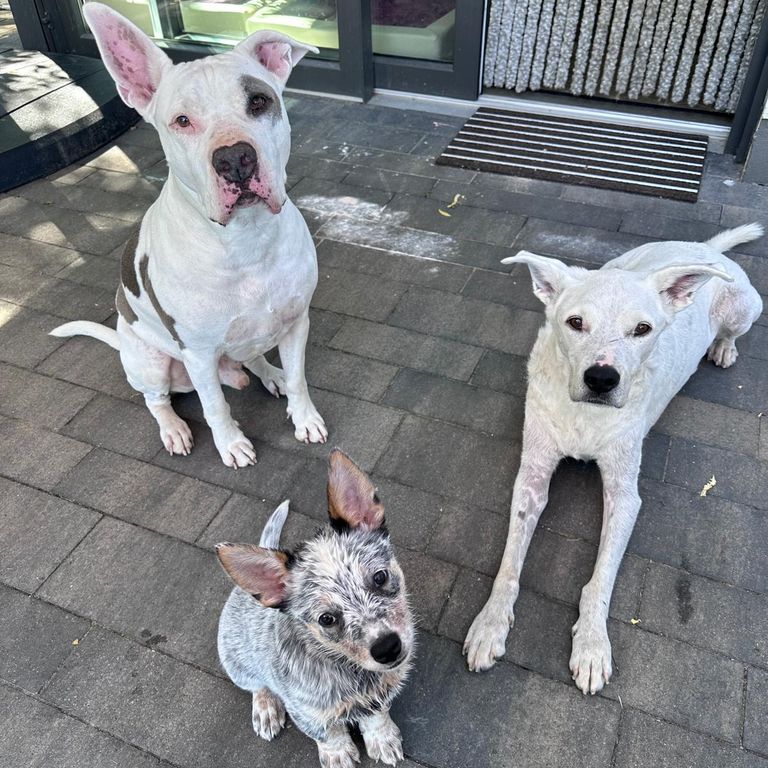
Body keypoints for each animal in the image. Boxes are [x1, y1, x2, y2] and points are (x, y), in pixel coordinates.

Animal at [50, 3, 327, 467]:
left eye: (258, 101)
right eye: (182, 120)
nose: (235, 158)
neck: (245, 241)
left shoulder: (295, 323)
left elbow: (299, 378)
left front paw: (303, 417)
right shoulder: (196, 352)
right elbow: (214, 405)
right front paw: (231, 444)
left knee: (254, 360)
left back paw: (269, 375)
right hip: (149, 361)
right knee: (157, 400)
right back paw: (175, 428)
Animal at [216, 450, 414, 767]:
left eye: (380, 577)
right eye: (327, 619)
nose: (387, 648)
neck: (352, 672)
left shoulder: (381, 694)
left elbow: (377, 716)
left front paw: (382, 738)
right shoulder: (306, 711)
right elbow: (327, 734)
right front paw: (338, 754)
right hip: (236, 664)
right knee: (257, 685)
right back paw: (266, 709)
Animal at [463, 223, 764, 694]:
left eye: (642, 329)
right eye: (575, 322)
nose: (602, 378)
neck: (585, 417)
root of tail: (705, 249)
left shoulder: (625, 497)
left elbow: (601, 578)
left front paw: (590, 644)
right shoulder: (531, 476)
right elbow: (509, 563)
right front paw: (490, 624)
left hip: (747, 306)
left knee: (733, 331)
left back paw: (723, 348)